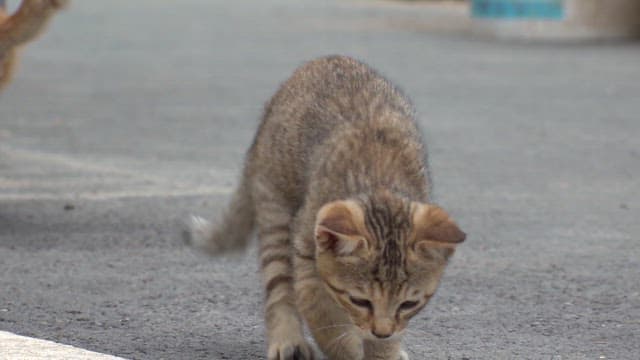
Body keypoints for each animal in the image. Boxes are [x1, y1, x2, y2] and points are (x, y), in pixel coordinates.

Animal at [190, 54, 464, 358]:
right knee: (279, 284)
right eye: (360, 300)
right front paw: (347, 347)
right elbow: (320, 313)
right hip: (275, 206)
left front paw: (385, 349)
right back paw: (288, 341)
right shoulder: (307, 253)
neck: (379, 182)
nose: (381, 332)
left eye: (408, 305)